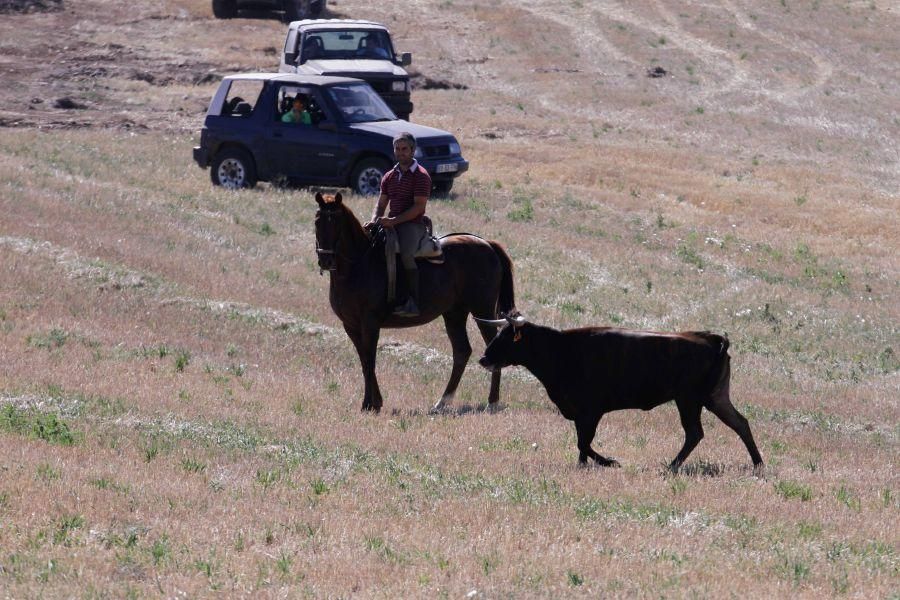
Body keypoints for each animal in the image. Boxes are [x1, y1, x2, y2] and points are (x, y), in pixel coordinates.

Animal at [314, 192, 512, 412]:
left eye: (336, 222)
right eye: (317, 221)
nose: (325, 260)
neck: (358, 266)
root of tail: (487, 244)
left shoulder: (370, 323)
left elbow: (370, 360)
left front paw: (370, 404)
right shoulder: (351, 326)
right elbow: (364, 361)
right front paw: (374, 402)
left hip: (482, 311)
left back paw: (492, 402)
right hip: (454, 313)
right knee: (461, 352)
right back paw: (442, 402)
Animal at [478, 314, 760, 474]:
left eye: (507, 337)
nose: (483, 359)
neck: (561, 349)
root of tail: (711, 339)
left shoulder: (591, 411)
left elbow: (584, 442)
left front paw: (610, 462)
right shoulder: (580, 414)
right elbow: (582, 442)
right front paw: (582, 466)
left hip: (689, 400)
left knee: (695, 433)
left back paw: (671, 467)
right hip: (715, 398)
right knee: (740, 424)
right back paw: (758, 465)